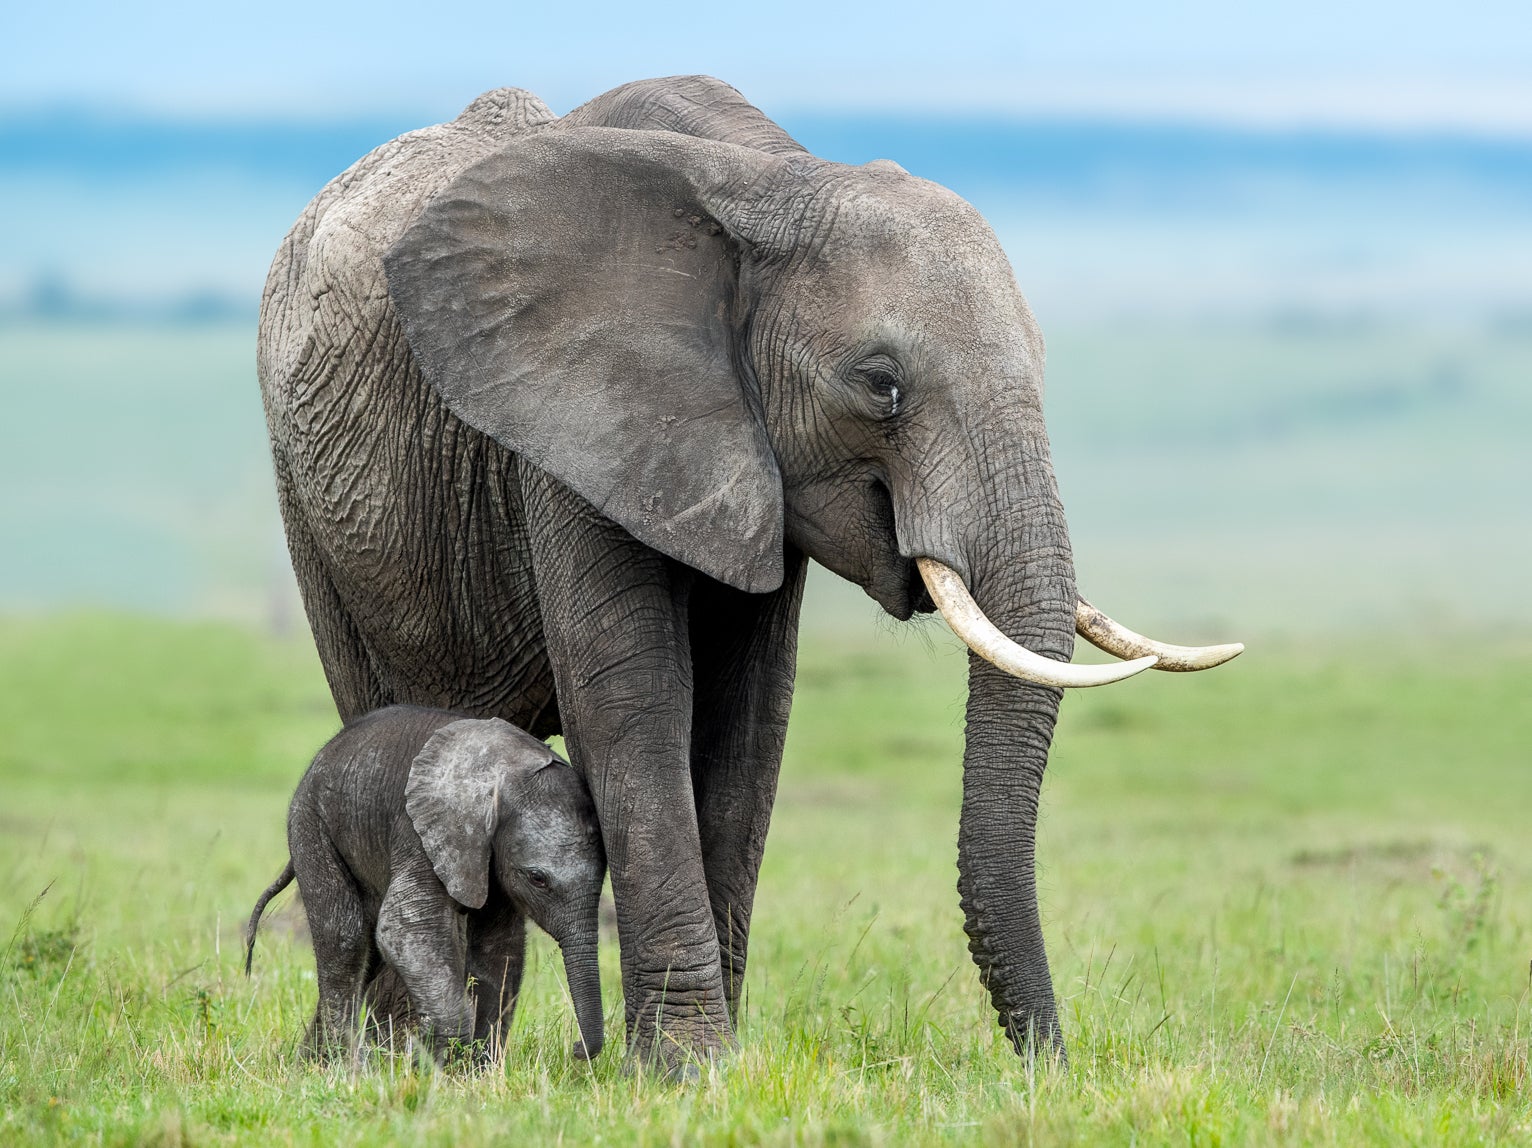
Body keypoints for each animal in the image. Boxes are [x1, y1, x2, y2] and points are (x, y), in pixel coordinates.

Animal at [243, 701, 603, 1060]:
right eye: (537, 878)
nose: (576, 1049)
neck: (508, 771)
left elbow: (499, 947)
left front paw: (476, 1066)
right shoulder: (421, 831)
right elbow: (404, 929)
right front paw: (429, 1058)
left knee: (367, 952)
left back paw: (308, 1062)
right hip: (311, 825)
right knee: (345, 936)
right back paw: (347, 1063)